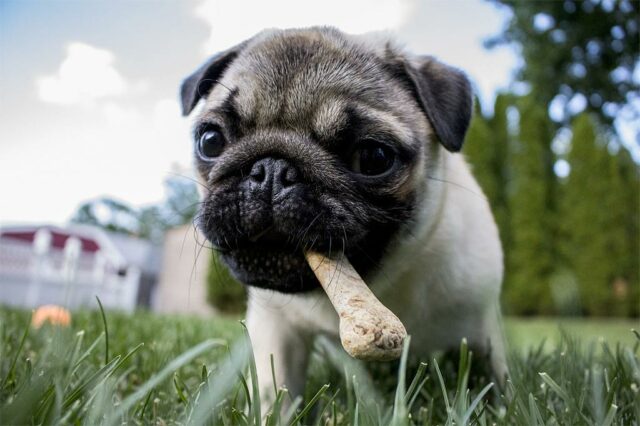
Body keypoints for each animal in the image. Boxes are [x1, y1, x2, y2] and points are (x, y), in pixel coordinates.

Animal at [179, 25, 504, 406]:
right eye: (210, 141)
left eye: (374, 157)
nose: (272, 170)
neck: (378, 284)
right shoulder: (276, 329)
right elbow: (276, 393)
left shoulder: (484, 326)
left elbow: (499, 381)